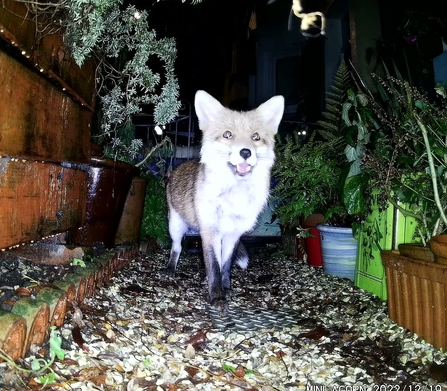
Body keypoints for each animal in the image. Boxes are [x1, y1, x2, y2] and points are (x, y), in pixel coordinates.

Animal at [166, 90, 286, 308]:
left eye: (255, 137)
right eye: (228, 134)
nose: (245, 152)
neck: (235, 195)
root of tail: (178, 167)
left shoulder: (233, 234)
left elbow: (225, 265)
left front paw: (226, 288)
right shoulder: (211, 231)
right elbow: (214, 266)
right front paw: (217, 296)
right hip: (175, 226)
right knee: (177, 247)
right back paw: (170, 268)